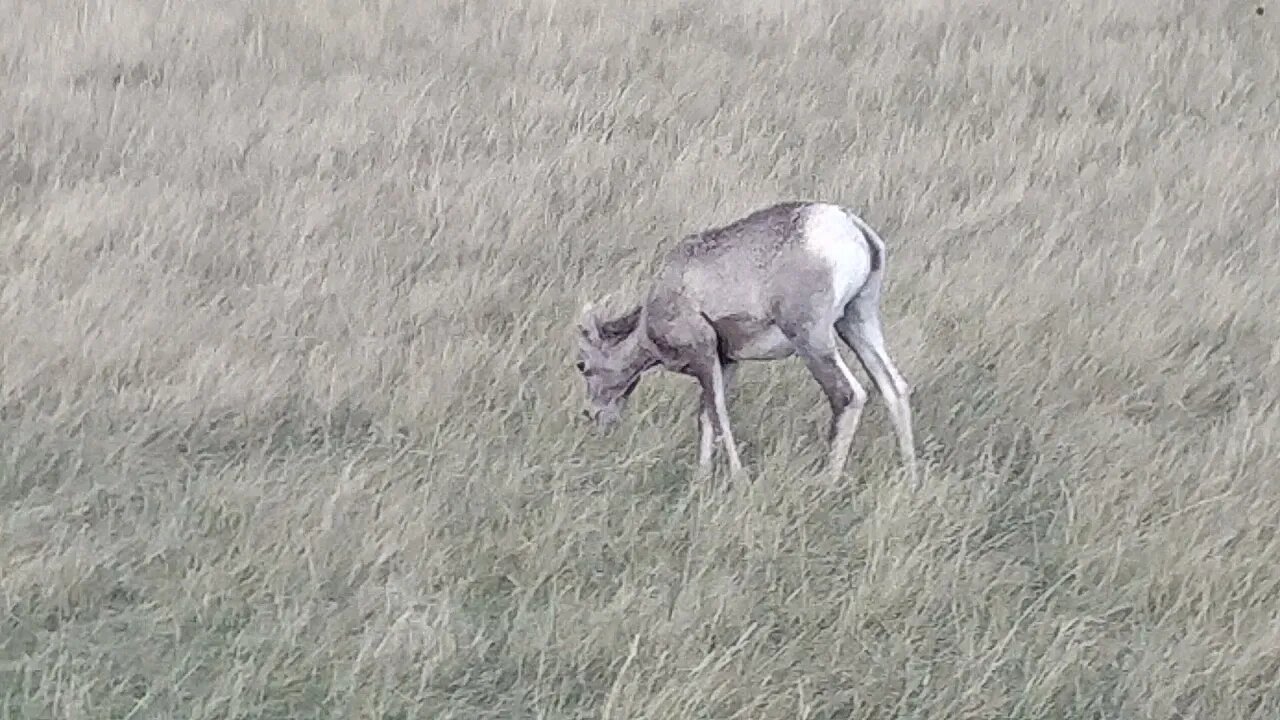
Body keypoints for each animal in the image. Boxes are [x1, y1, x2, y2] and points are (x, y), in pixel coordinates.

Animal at [576, 202, 916, 481]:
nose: (592, 416)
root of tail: (851, 226)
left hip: (812, 339)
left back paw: (828, 483)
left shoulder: (704, 355)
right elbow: (707, 417)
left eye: (582, 365)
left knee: (848, 395)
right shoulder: (726, 362)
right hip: (857, 322)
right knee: (893, 387)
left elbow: (718, 414)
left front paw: (738, 479)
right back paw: (909, 478)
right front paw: (701, 480)